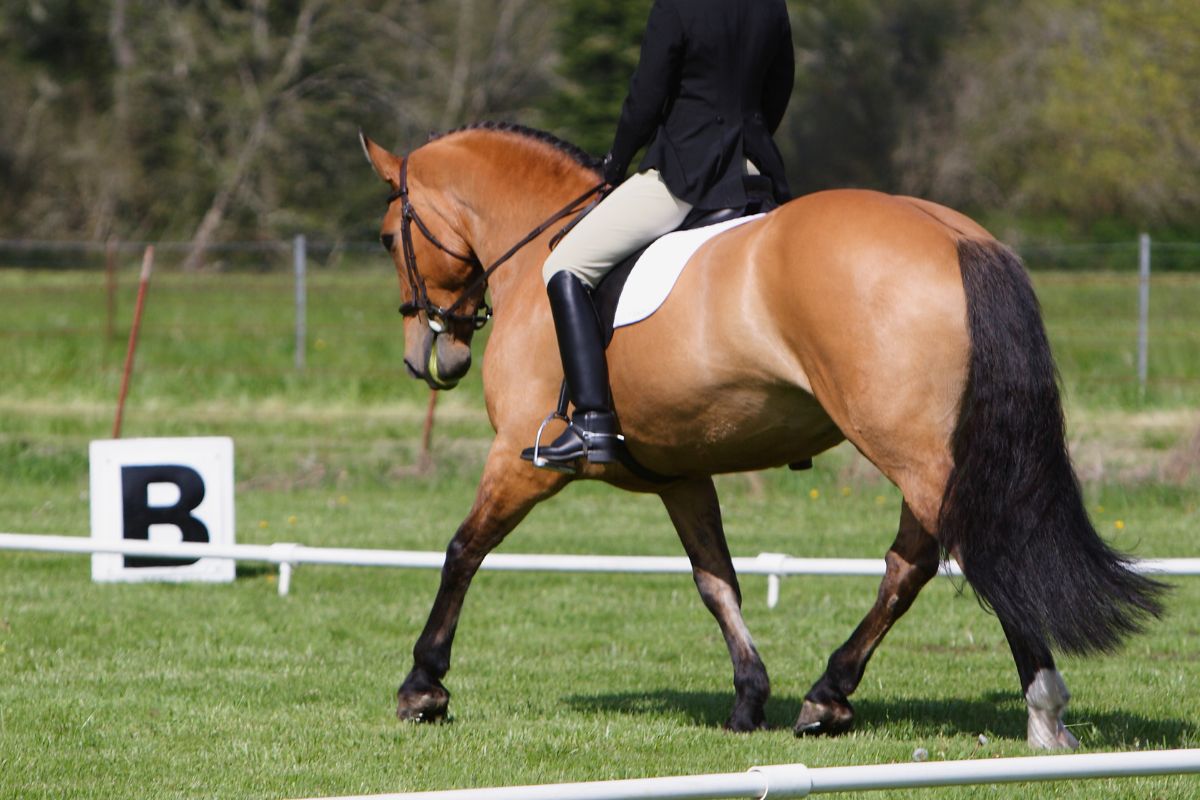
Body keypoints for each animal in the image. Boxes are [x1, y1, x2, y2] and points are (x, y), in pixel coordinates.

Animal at [357, 122, 1161, 748]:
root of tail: (956, 235)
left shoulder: (524, 460)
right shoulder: (680, 474)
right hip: (929, 451)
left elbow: (463, 550)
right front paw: (749, 696)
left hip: (912, 449)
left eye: (387, 237)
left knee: (967, 551)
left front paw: (423, 687)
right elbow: (717, 580)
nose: (430, 357)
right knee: (913, 562)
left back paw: (1036, 705)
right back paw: (830, 697)